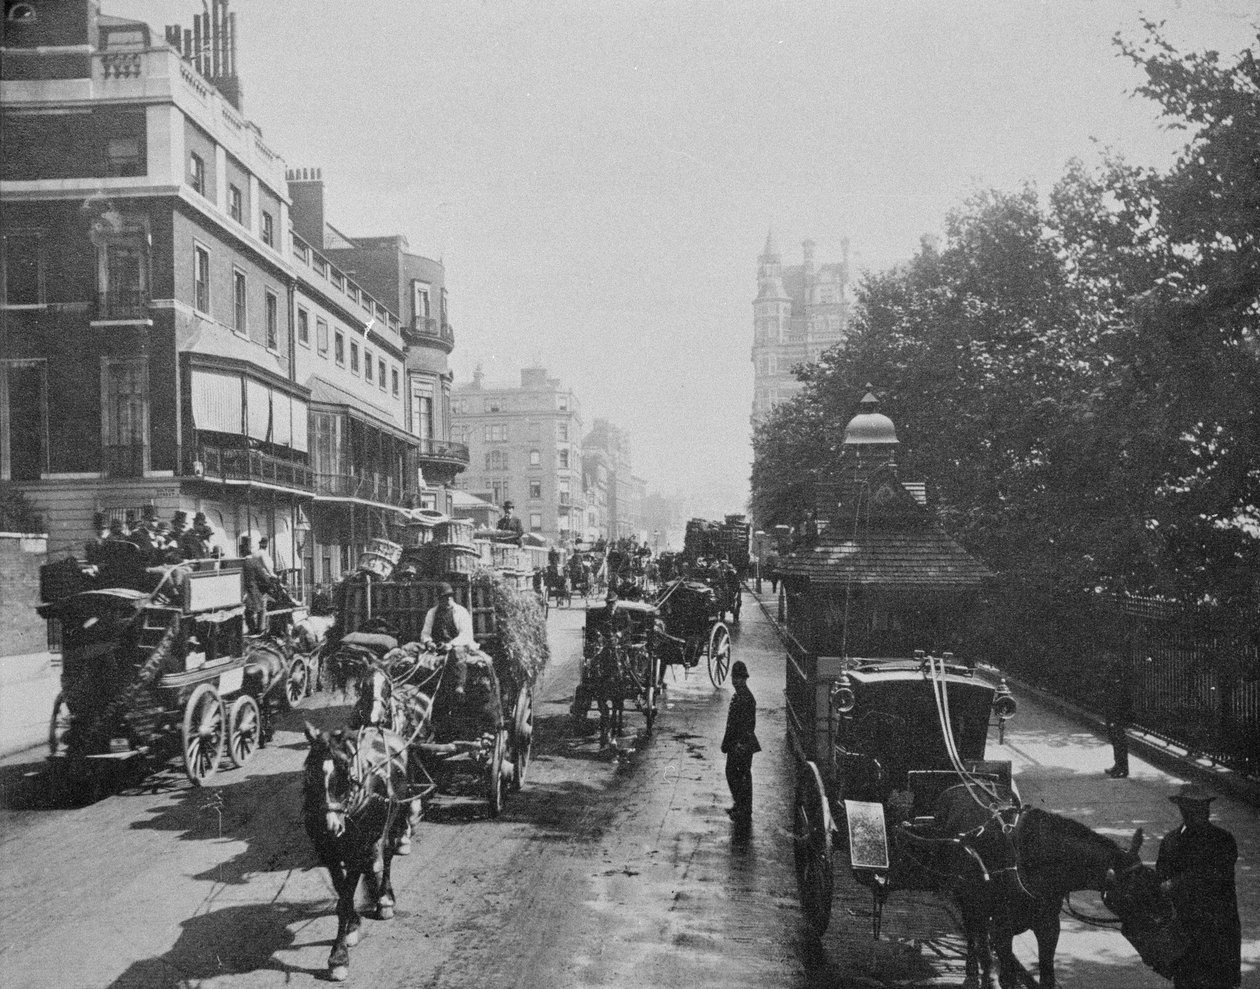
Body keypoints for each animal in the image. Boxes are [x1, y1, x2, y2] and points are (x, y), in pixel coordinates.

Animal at [301, 720, 410, 982]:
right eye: (311, 773)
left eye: (345, 774)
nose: (330, 827)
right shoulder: (328, 853)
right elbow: (342, 893)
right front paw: (352, 925)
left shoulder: (356, 850)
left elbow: (345, 898)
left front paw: (338, 959)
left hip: (394, 818)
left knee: (387, 855)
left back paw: (385, 899)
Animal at [932, 781, 1174, 982]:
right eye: (1131, 895)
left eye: (1156, 881)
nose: (1166, 920)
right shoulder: (1002, 930)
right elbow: (1008, 976)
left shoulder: (1049, 927)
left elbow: (1047, 976)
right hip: (965, 897)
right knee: (972, 932)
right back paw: (973, 969)